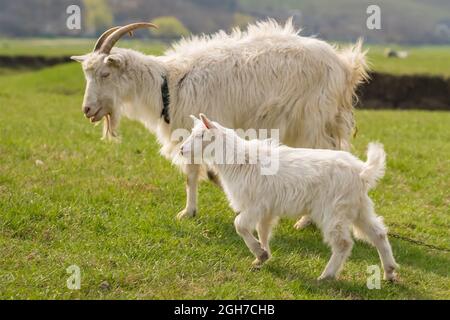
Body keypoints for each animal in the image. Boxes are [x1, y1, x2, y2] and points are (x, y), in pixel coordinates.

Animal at [71, 20, 370, 220]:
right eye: (87, 74)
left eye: (105, 74)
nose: (87, 110)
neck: (169, 85)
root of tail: (345, 66)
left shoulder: (195, 128)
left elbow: (191, 174)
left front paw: (188, 212)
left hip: (313, 120)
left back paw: (307, 219)